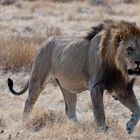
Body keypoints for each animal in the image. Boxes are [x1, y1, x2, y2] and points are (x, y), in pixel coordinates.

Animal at [7, 19, 140, 133]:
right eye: (129, 49)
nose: (139, 61)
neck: (118, 68)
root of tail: (44, 42)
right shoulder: (95, 87)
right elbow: (99, 112)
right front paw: (103, 130)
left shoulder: (123, 89)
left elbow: (137, 109)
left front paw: (130, 126)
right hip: (38, 79)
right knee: (28, 102)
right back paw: (25, 123)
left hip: (67, 88)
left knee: (69, 111)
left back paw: (79, 126)